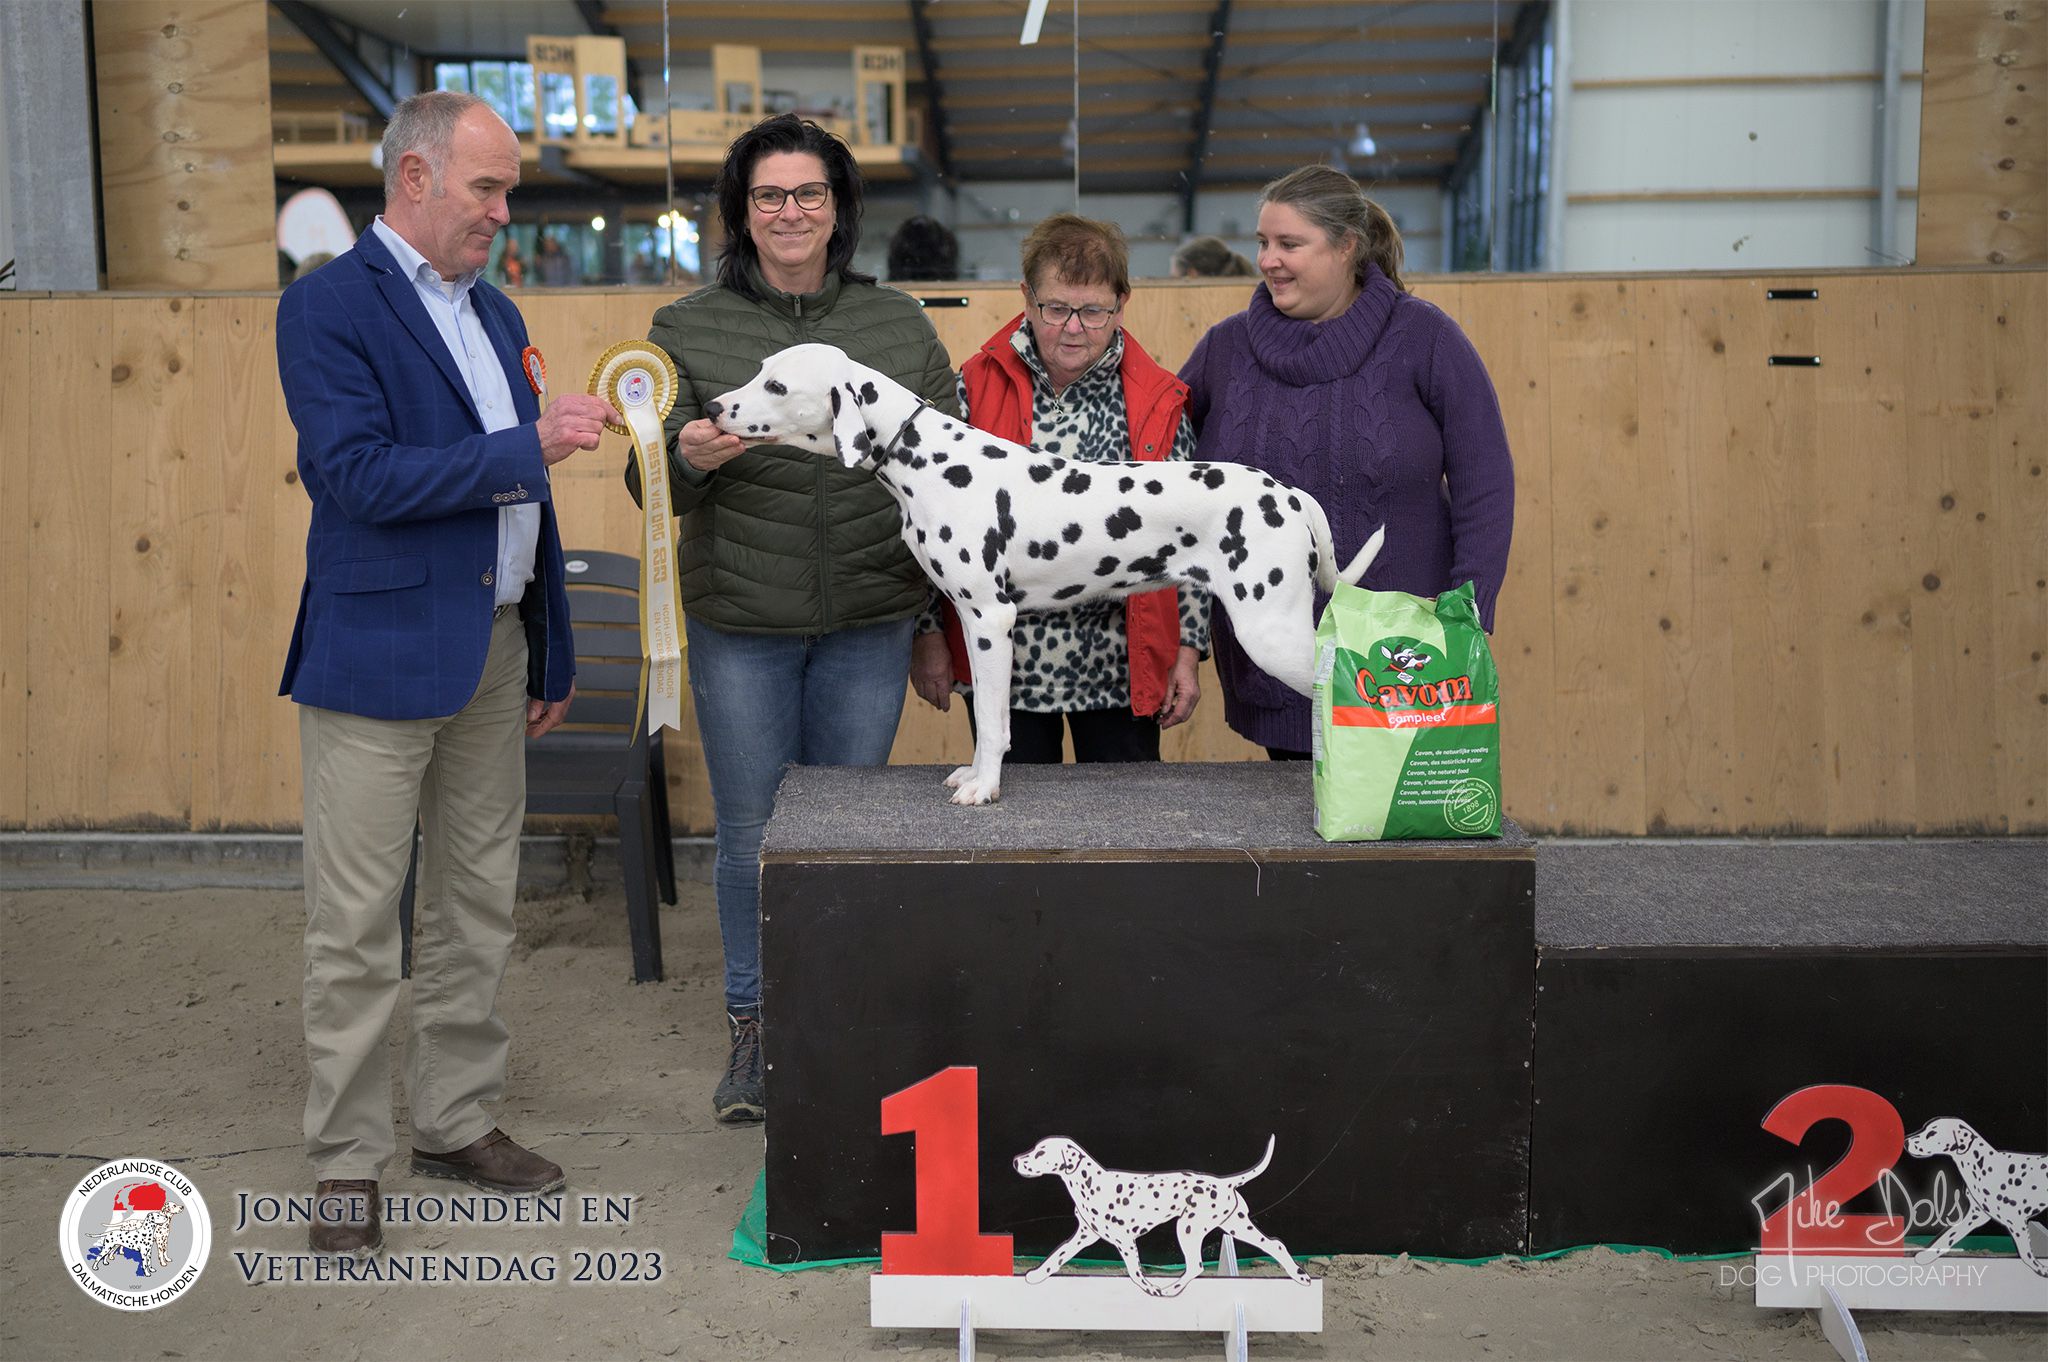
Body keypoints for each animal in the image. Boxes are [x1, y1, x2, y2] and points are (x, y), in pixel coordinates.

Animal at [712, 346, 1384, 802]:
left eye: (776, 383)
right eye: (760, 369)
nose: (714, 408)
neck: (931, 461)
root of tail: (1289, 494)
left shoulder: (990, 619)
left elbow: (991, 720)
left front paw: (983, 787)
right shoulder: (974, 621)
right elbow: (993, 717)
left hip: (1270, 629)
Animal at [1011, 1130, 1310, 1294]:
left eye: (1040, 1153)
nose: (1015, 1161)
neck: (1090, 1183)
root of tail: (1226, 1182)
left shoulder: (1125, 1241)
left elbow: (1135, 1273)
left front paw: (1150, 1289)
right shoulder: (1083, 1236)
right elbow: (1056, 1257)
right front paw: (1036, 1275)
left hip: (1188, 1229)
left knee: (1196, 1266)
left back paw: (1170, 1290)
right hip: (1237, 1226)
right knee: (1276, 1245)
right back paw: (1301, 1276)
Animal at [1900, 1114, 2048, 1278]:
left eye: (1932, 1133)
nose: (1905, 1142)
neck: (1984, 1166)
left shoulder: (2016, 1221)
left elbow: (2025, 1253)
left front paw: (2040, 1268)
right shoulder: (1975, 1216)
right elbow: (1948, 1236)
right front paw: (1926, 1256)